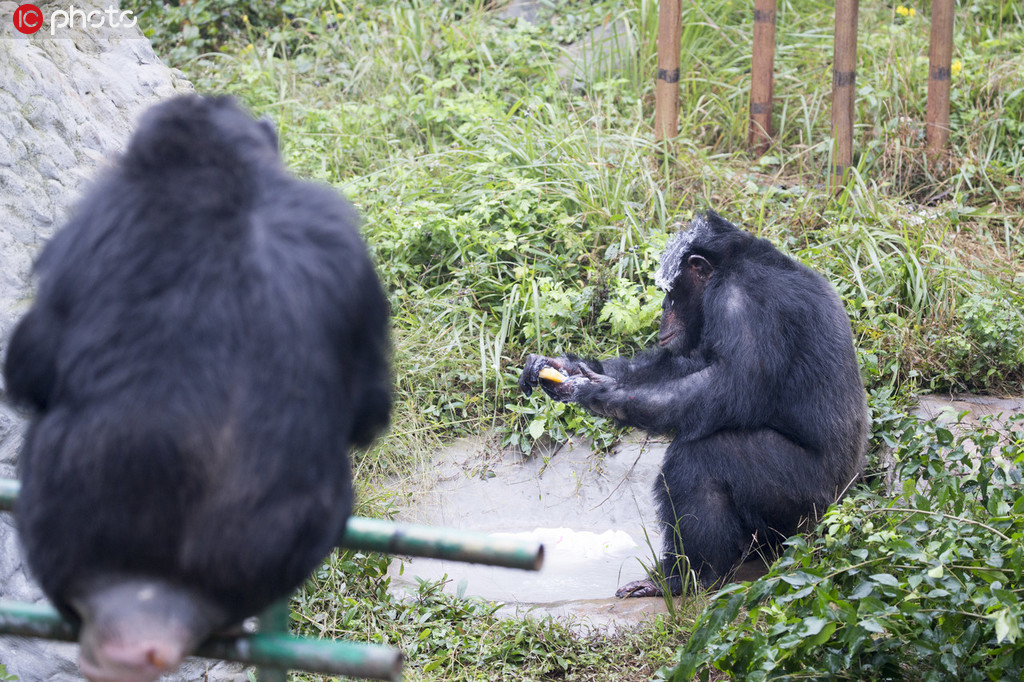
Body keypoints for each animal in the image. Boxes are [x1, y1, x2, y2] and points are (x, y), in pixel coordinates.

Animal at [524, 210, 868, 593]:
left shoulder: (741, 305)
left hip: (806, 497)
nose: (662, 308)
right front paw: (561, 369)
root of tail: (843, 500)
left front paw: (597, 392)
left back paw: (687, 577)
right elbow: (683, 366)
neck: (733, 265)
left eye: (671, 292)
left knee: (703, 458)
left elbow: (723, 387)